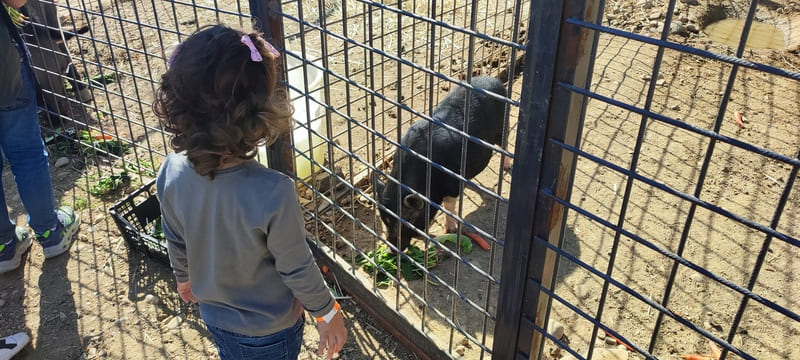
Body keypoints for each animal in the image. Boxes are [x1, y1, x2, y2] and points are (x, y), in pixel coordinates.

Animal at [374, 76, 510, 253]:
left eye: (407, 221)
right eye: (384, 220)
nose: (391, 250)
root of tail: (494, 80)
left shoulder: (452, 183)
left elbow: (449, 205)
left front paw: (449, 230)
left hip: (503, 124)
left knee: (505, 143)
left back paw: (507, 166)